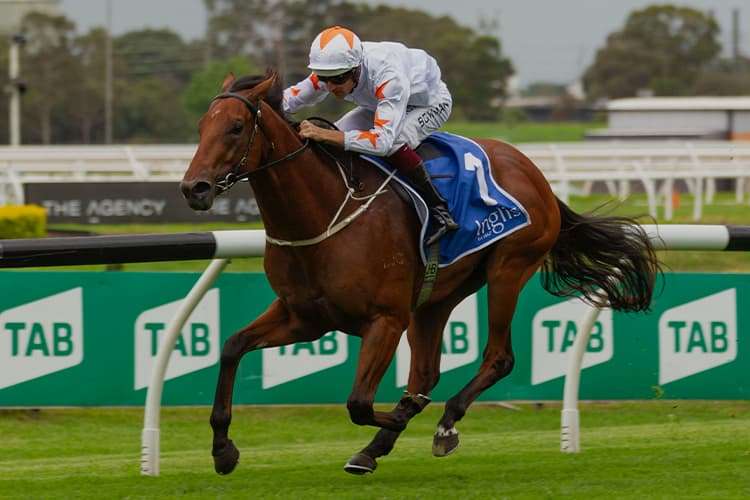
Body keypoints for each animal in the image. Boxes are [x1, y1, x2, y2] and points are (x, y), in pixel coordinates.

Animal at [180, 70, 659, 475]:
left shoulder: (386, 319)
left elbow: (359, 402)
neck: (321, 215)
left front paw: (400, 419)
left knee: (498, 357)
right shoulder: (304, 316)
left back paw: (443, 423)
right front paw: (223, 449)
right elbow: (232, 346)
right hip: (437, 296)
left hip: (509, 269)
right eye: (201, 126)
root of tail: (533, 171)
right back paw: (378, 445)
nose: (193, 188)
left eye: (235, 127)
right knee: (427, 371)